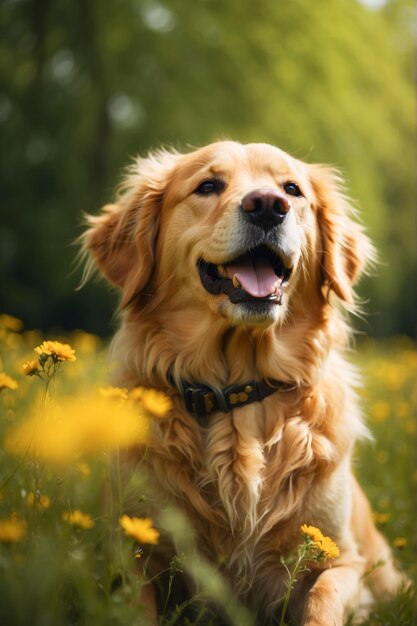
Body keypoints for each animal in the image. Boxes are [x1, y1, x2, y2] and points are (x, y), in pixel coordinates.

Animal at [83, 143, 404, 624]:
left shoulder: (342, 561)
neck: (240, 395)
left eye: (292, 189)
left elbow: (322, 599)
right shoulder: (134, 556)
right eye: (207, 185)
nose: (268, 206)